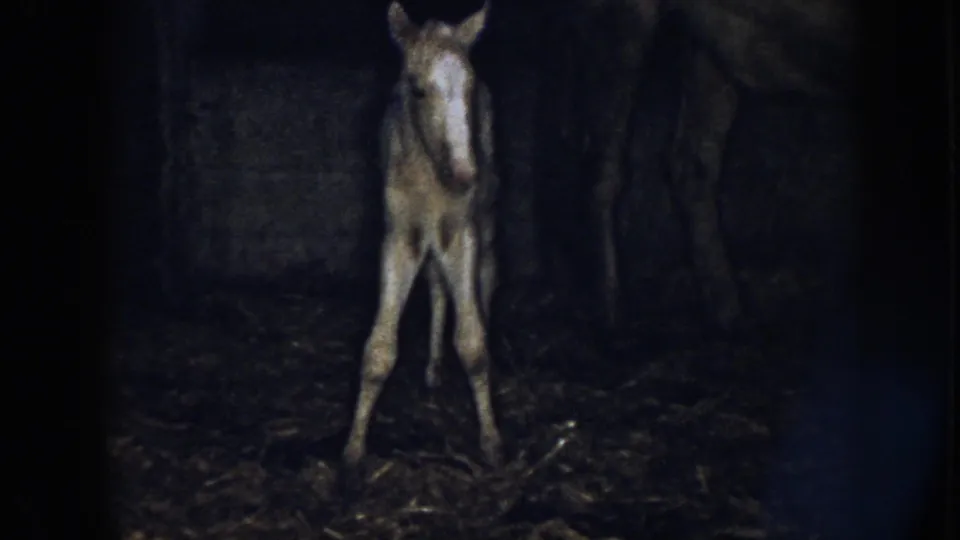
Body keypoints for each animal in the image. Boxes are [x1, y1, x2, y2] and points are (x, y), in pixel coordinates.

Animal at [342, 1, 504, 474]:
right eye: (416, 89)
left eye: (469, 86)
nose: (466, 175)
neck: (433, 179)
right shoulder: (401, 237)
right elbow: (379, 349)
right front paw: (353, 450)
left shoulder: (463, 233)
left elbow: (472, 342)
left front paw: (491, 442)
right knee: (435, 288)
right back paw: (432, 371)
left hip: (483, 223)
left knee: (486, 280)